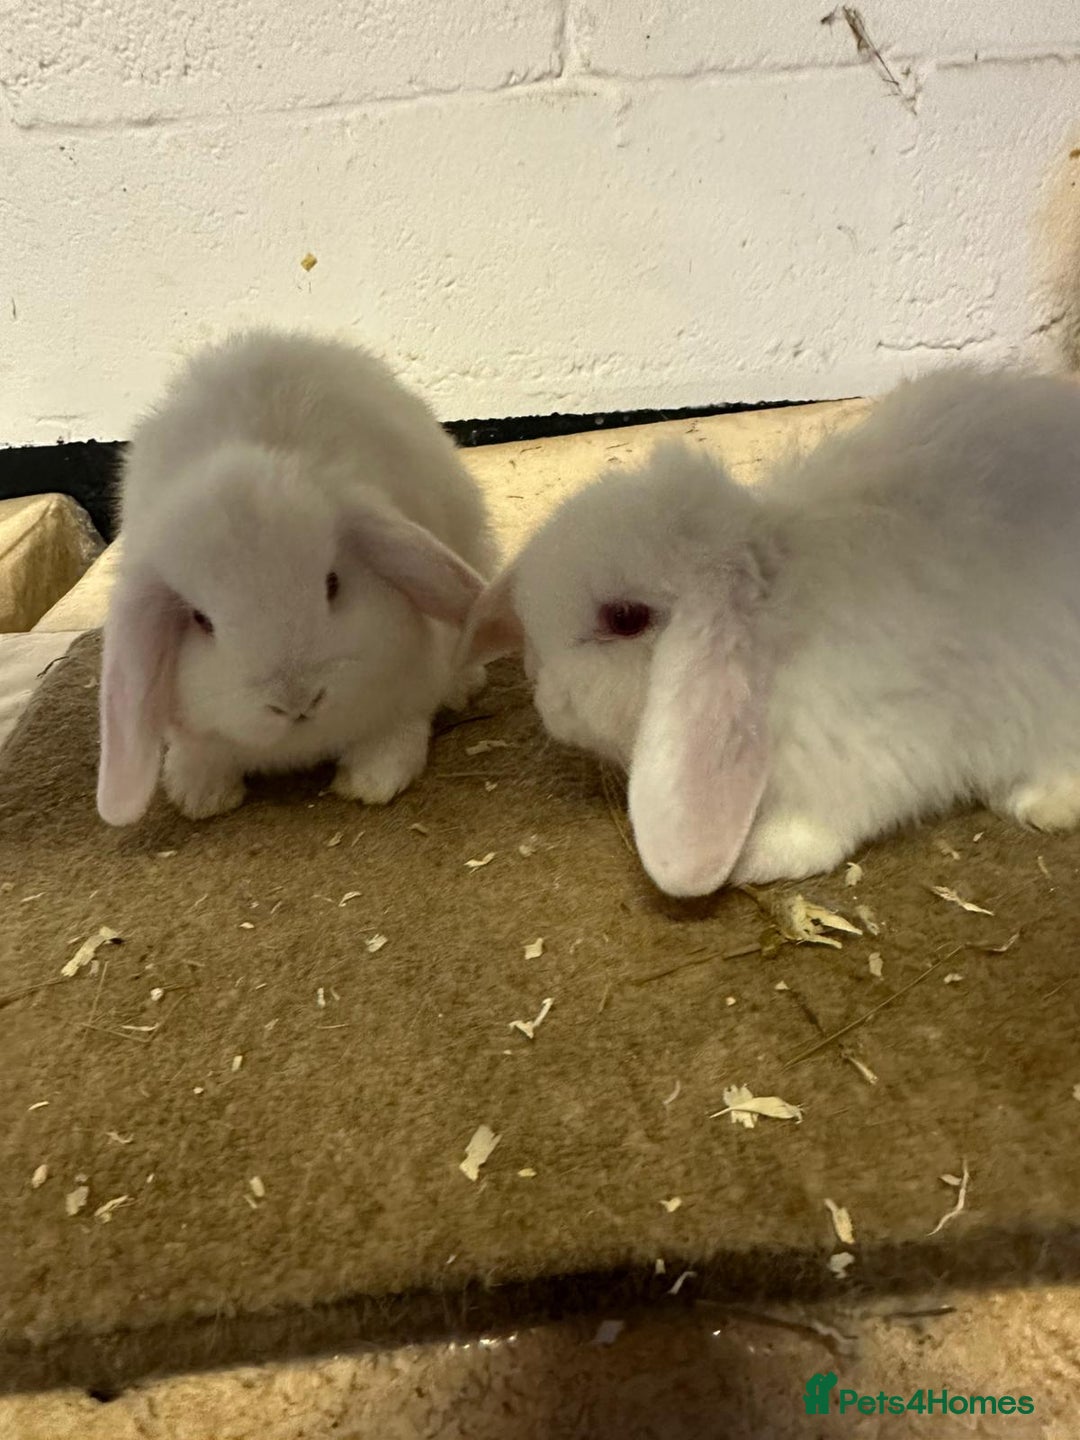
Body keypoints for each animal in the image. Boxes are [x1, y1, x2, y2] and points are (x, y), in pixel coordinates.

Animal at [97, 328, 497, 826]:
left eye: (332, 584)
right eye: (201, 621)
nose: (297, 701)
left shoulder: (409, 689)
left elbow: (397, 733)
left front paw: (372, 782)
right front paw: (200, 797)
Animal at [460, 366, 1080, 897]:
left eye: (625, 619)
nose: (544, 697)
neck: (779, 621)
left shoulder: (878, 753)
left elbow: (822, 825)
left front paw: (757, 857)